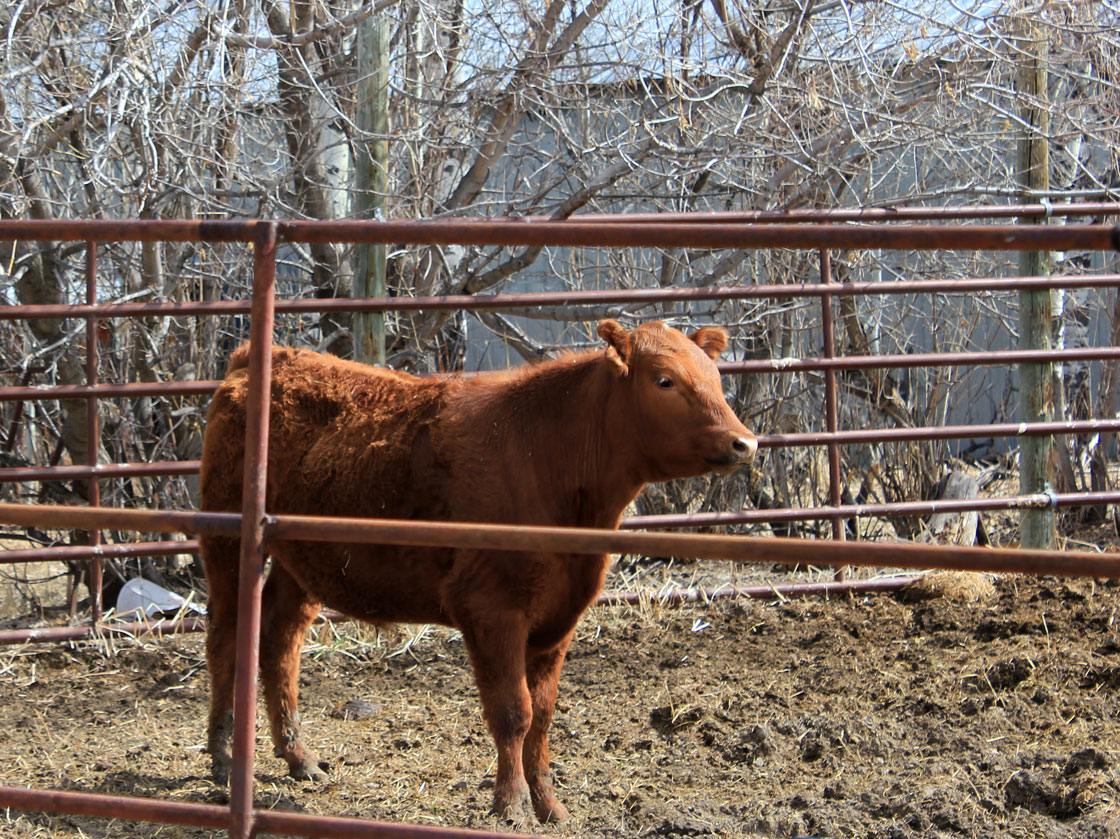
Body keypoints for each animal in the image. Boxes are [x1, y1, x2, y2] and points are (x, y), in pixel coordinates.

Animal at [199, 319, 757, 825]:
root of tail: (262, 357)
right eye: (664, 380)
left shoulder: (560, 616)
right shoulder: (490, 608)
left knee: (279, 639)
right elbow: (513, 712)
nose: (744, 443)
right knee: (227, 636)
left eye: (715, 374)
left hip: (301, 559)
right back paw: (224, 757)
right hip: (226, 539)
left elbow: (543, 715)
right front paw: (512, 805)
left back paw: (299, 757)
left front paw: (550, 805)